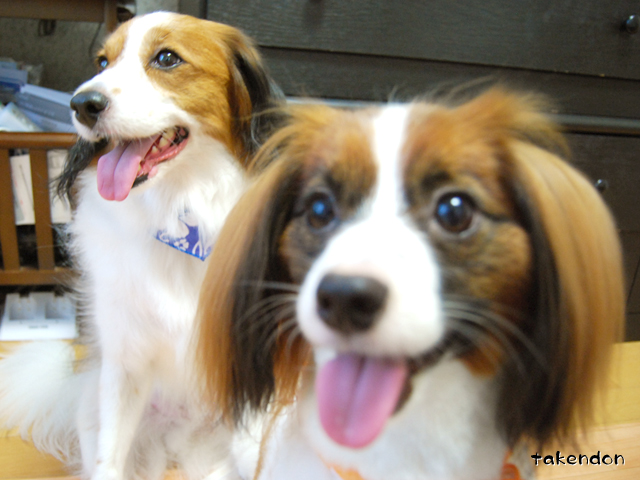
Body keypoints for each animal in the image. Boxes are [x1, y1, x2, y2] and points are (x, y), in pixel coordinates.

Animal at [0, 12, 281, 480]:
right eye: (101, 62)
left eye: (167, 58)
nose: (82, 104)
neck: (180, 210)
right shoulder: (125, 363)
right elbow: (108, 458)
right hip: (94, 407)